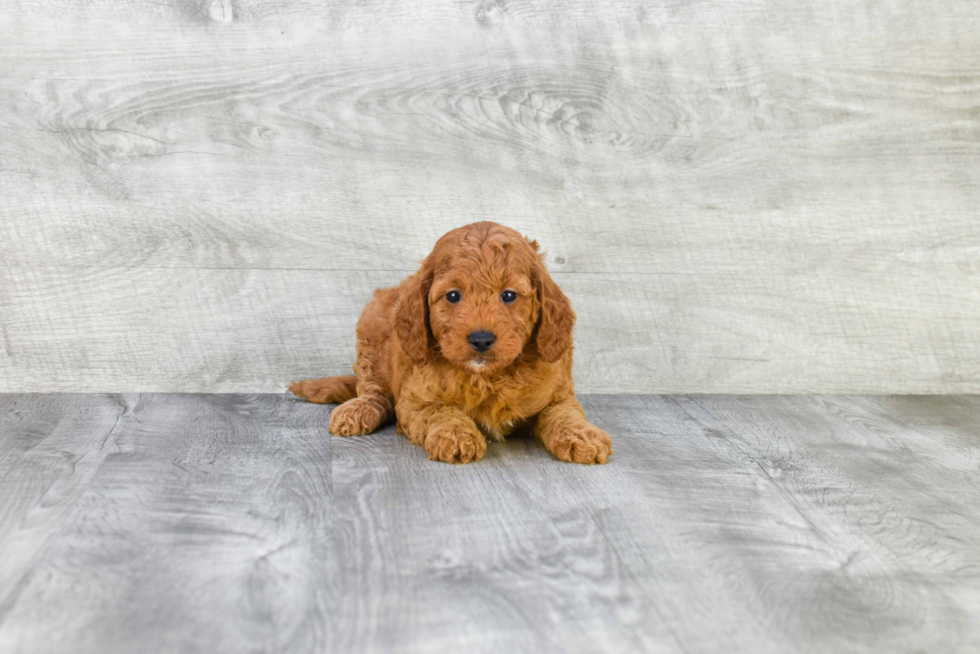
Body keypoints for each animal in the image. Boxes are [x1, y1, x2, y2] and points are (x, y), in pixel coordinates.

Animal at [290, 224, 612, 466]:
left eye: (508, 295)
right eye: (453, 296)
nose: (481, 339)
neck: (487, 377)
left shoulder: (558, 392)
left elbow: (565, 413)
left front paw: (584, 436)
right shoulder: (414, 400)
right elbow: (440, 411)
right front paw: (456, 436)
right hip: (371, 327)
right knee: (372, 389)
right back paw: (358, 410)